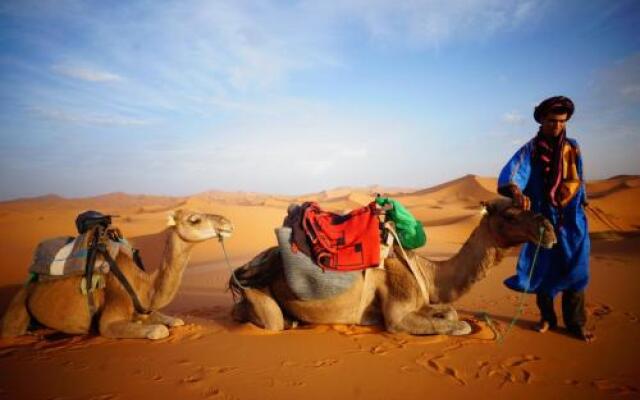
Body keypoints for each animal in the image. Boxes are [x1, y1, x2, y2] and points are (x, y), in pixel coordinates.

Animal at [1, 209, 232, 340]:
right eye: (194, 220)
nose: (227, 223)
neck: (143, 285)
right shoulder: (111, 315)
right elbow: (158, 331)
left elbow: (175, 321)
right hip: (19, 306)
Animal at [229, 198, 556, 336]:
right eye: (511, 215)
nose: (550, 229)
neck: (427, 272)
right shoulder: (398, 315)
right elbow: (458, 325)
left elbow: (450, 312)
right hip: (258, 292)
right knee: (264, 320)